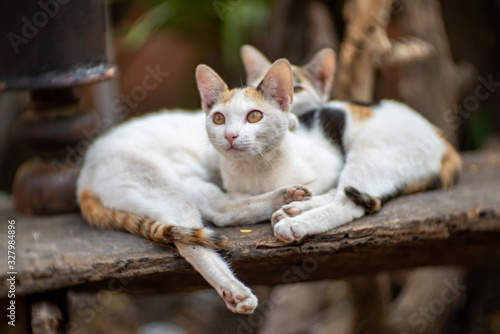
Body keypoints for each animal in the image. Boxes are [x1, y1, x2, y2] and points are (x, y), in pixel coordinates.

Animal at [240, 45, 462, 243]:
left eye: (297, 89)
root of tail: (442, 141)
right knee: (341, 191)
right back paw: (295, 208)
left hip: (368, 153)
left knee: (346, 204)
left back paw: (295, 222)